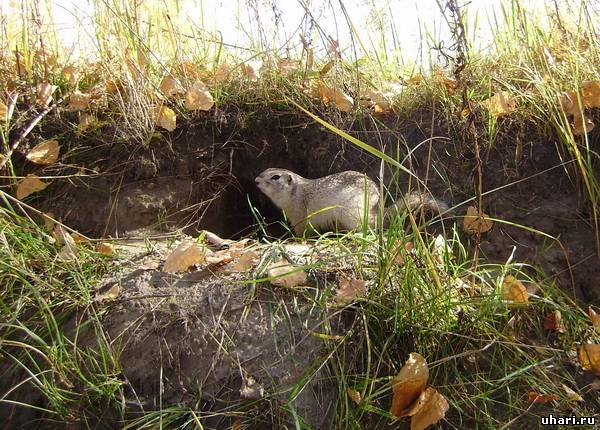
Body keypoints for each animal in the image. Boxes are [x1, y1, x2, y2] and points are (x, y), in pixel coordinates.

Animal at [255, 168, 448, 235]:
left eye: (275, 177)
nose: (255, 180)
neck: (295, 192)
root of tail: (376, 209)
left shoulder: (299, 216)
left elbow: (302, 232)